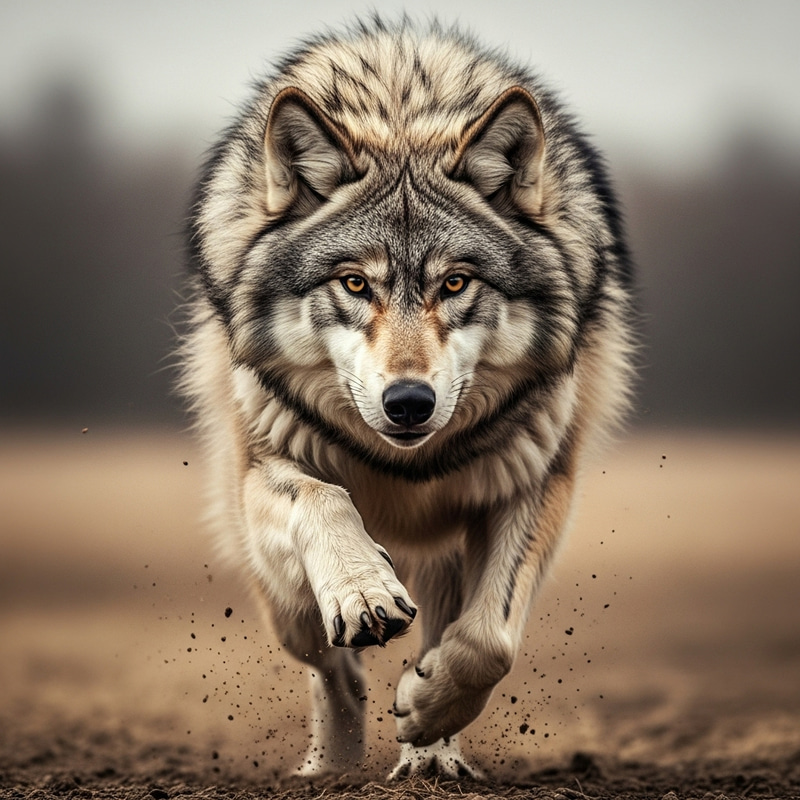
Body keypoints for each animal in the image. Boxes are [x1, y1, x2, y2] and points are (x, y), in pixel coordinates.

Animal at [180, 16, 634, 779]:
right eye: (355, 283)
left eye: (454, 283)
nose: (409, 403)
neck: (401, 115)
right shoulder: (266, 465)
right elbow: (322, 499)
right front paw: (363, 589)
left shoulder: (536, 480)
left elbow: (488, 640)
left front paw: (429, 713)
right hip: (281, 596)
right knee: (327, 661)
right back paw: (333, 766)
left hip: (447, 552)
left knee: (438, 633)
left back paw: (428, 755)